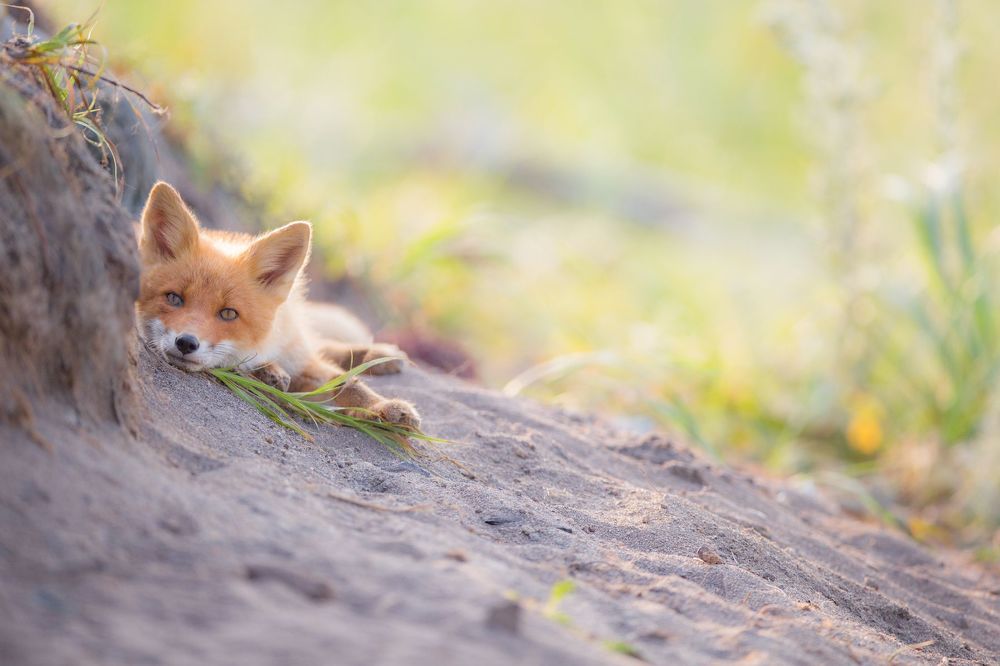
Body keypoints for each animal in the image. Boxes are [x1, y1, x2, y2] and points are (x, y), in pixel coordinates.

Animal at [135, 181, 420, 429]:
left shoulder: (302, 361)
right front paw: (268, 371)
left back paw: (378, 355)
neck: (264, 344)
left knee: (322, 346)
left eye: (228, 313)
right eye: (174, 298)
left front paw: (384, 407)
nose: (186, 343)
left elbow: (349, 384)